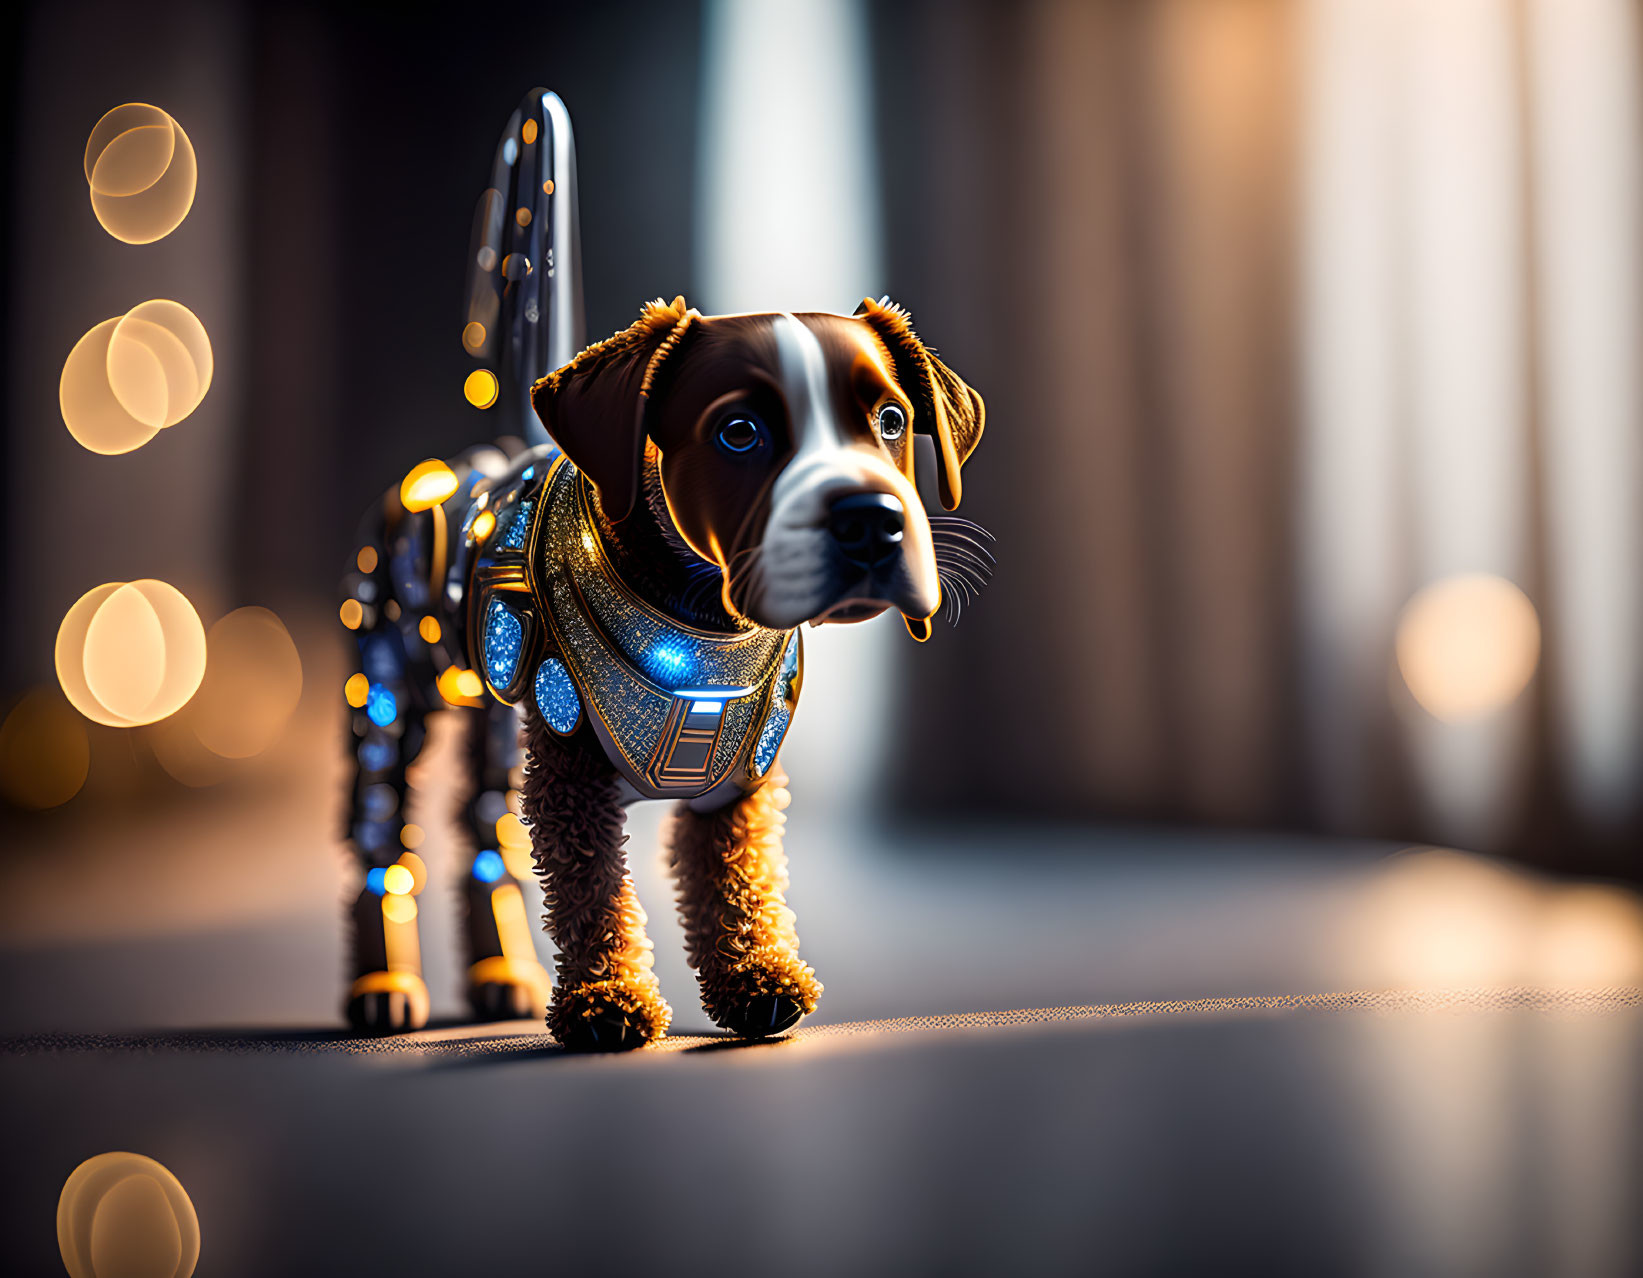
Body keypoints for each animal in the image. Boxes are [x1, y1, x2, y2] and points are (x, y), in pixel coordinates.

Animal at [338, 87, 979, 1044]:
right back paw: (382, 980)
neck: (696, 617)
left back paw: (500, 968)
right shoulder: (570, 780)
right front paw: (607, 998)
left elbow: (733, 885)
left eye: (893, 420)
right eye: (739, 431)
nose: (869, 522)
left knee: (482, 827)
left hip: (496, 716)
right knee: (384, 836)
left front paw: (753, 977)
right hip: (387, 689)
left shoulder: (738, 786)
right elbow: (593, 892)